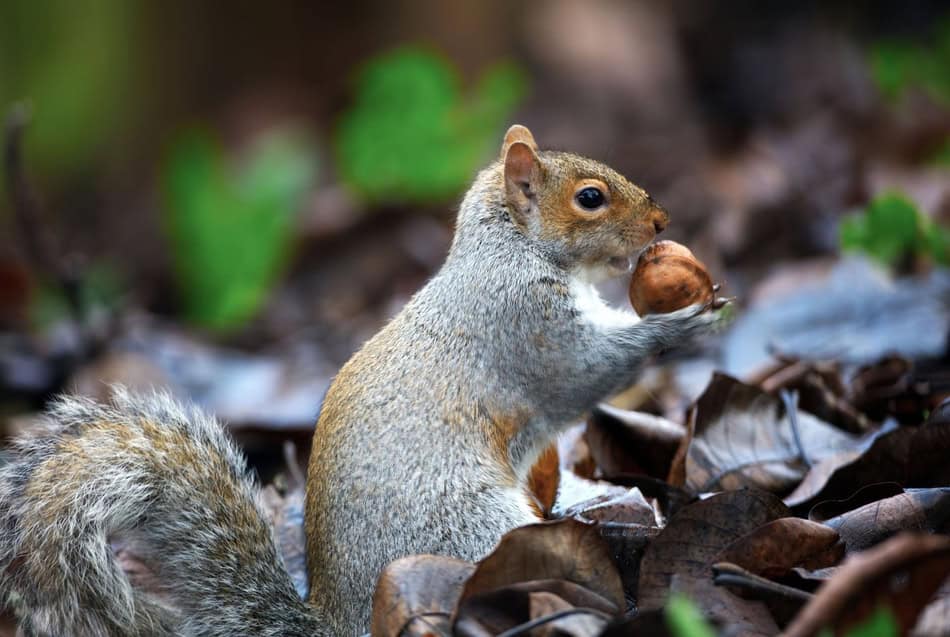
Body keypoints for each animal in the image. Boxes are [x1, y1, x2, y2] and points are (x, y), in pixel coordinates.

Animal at [0, 125, 718, 636]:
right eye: (590, 198)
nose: (661, 223)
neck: (507, 248)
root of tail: (339, 619)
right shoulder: (525, 325)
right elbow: (582, 370)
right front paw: (680, 322)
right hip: (466, 524)